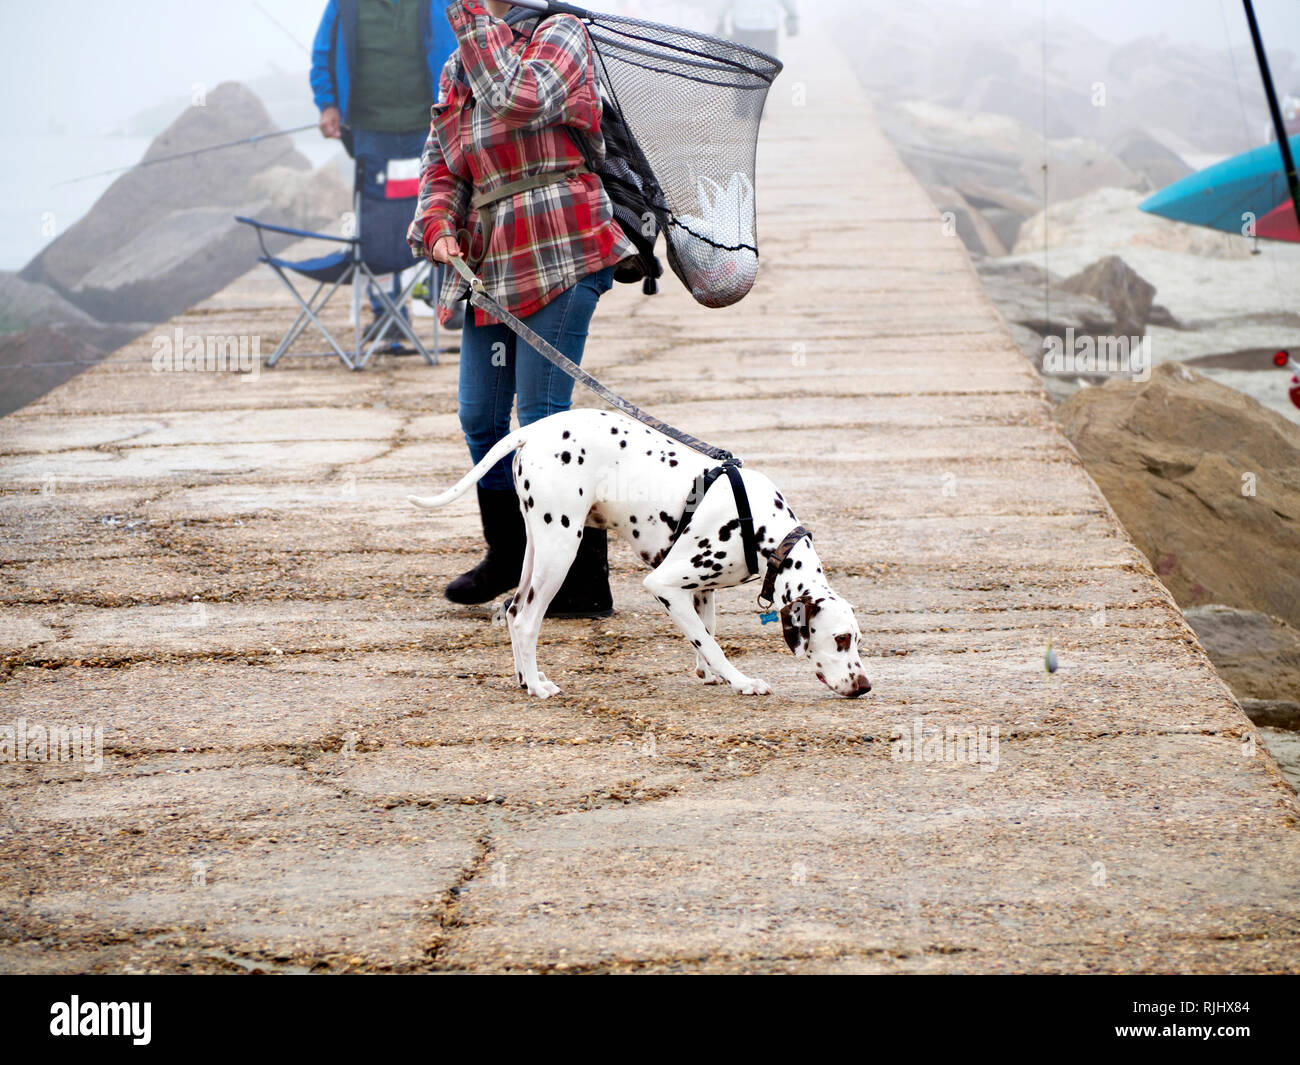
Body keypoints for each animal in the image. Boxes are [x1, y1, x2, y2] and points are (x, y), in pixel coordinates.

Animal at [408, 408, 873, 702]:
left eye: (857, 640)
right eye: (840, 639)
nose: (865, 685)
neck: (764, 529)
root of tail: (534, 430)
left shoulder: (700, 589)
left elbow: (706, 635)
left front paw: (709, 674)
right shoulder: (663, 584)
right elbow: (712, 643)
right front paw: (741, 681)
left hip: (538, 547)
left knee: (511, 610)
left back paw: (528, 678)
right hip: (561, 547)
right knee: (525, 619)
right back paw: (539, 689)